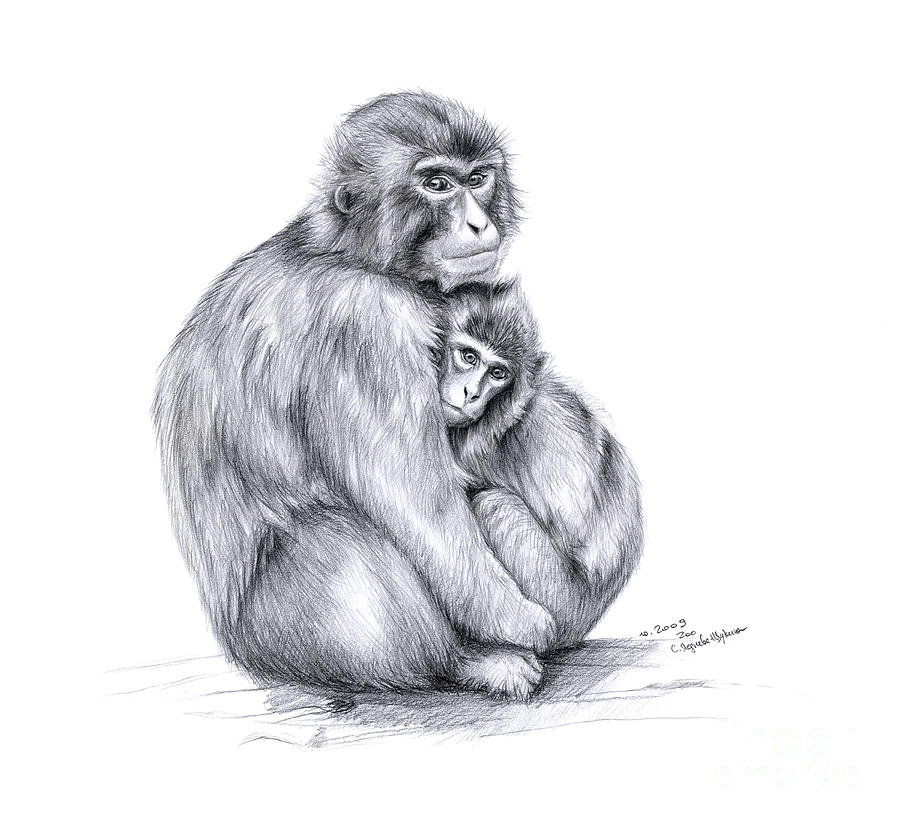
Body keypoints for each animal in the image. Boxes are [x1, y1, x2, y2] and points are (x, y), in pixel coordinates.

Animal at [153, 92, 557, 701]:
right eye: (437, 184)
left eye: (478, 178)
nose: (478, 222)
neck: (351, 254)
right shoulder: (366, 326)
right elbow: (419, 503)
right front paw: (518, 619)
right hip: (278, 626)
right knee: (344, 547)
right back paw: (464, 661)